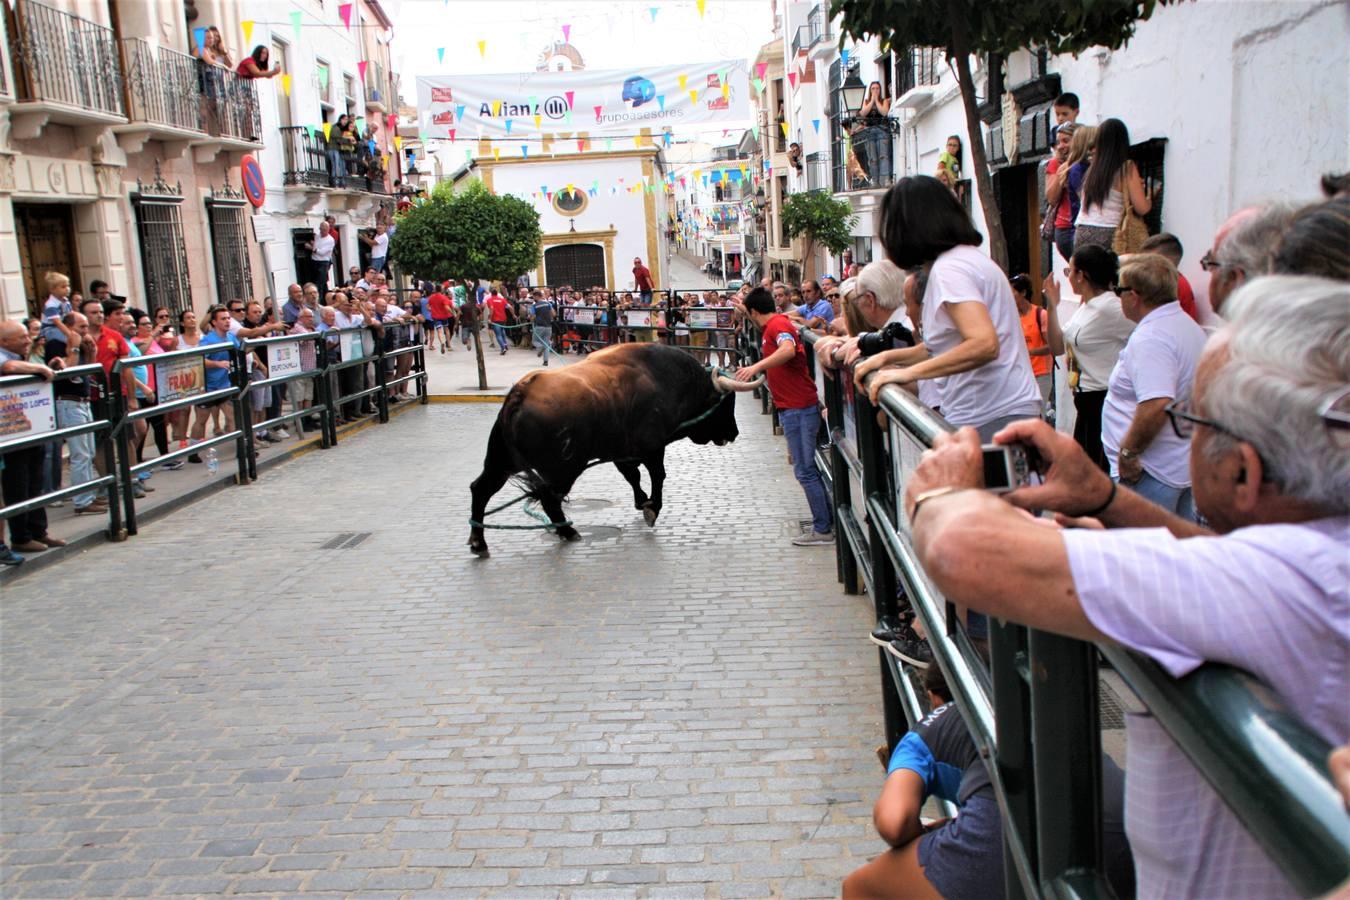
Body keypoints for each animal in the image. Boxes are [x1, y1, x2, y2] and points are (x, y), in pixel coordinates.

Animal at [467, 342, 761, 555]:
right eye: (726, 404)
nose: (734, 433)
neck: (668, 381)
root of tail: (520, 393)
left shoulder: (621, 452)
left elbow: (633, 476)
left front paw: (642, 501)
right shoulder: (653, 448)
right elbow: (657, 476)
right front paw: (652, 508)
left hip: (501, 463)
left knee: (480, 490)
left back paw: (479, 541)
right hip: (563, 470)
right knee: (550, 499)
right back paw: (568, 532)